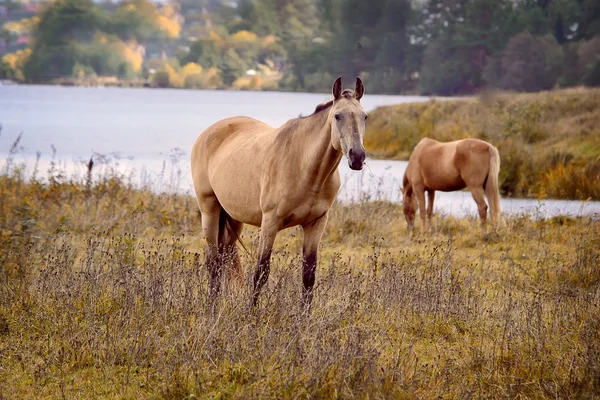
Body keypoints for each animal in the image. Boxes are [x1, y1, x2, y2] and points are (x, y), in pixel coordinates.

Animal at [192, 76, 370, 304]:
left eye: (364, 117)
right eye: (338, 116)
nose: (357, 156)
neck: (305, 167)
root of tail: (208, 133)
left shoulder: (316, 224)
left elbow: (308, 276)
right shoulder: (270, 222)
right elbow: (261, 272)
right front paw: (251, 312)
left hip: (233, 218)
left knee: (223, 258)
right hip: (210, 210)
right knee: (213, 262)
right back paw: (211, 306)